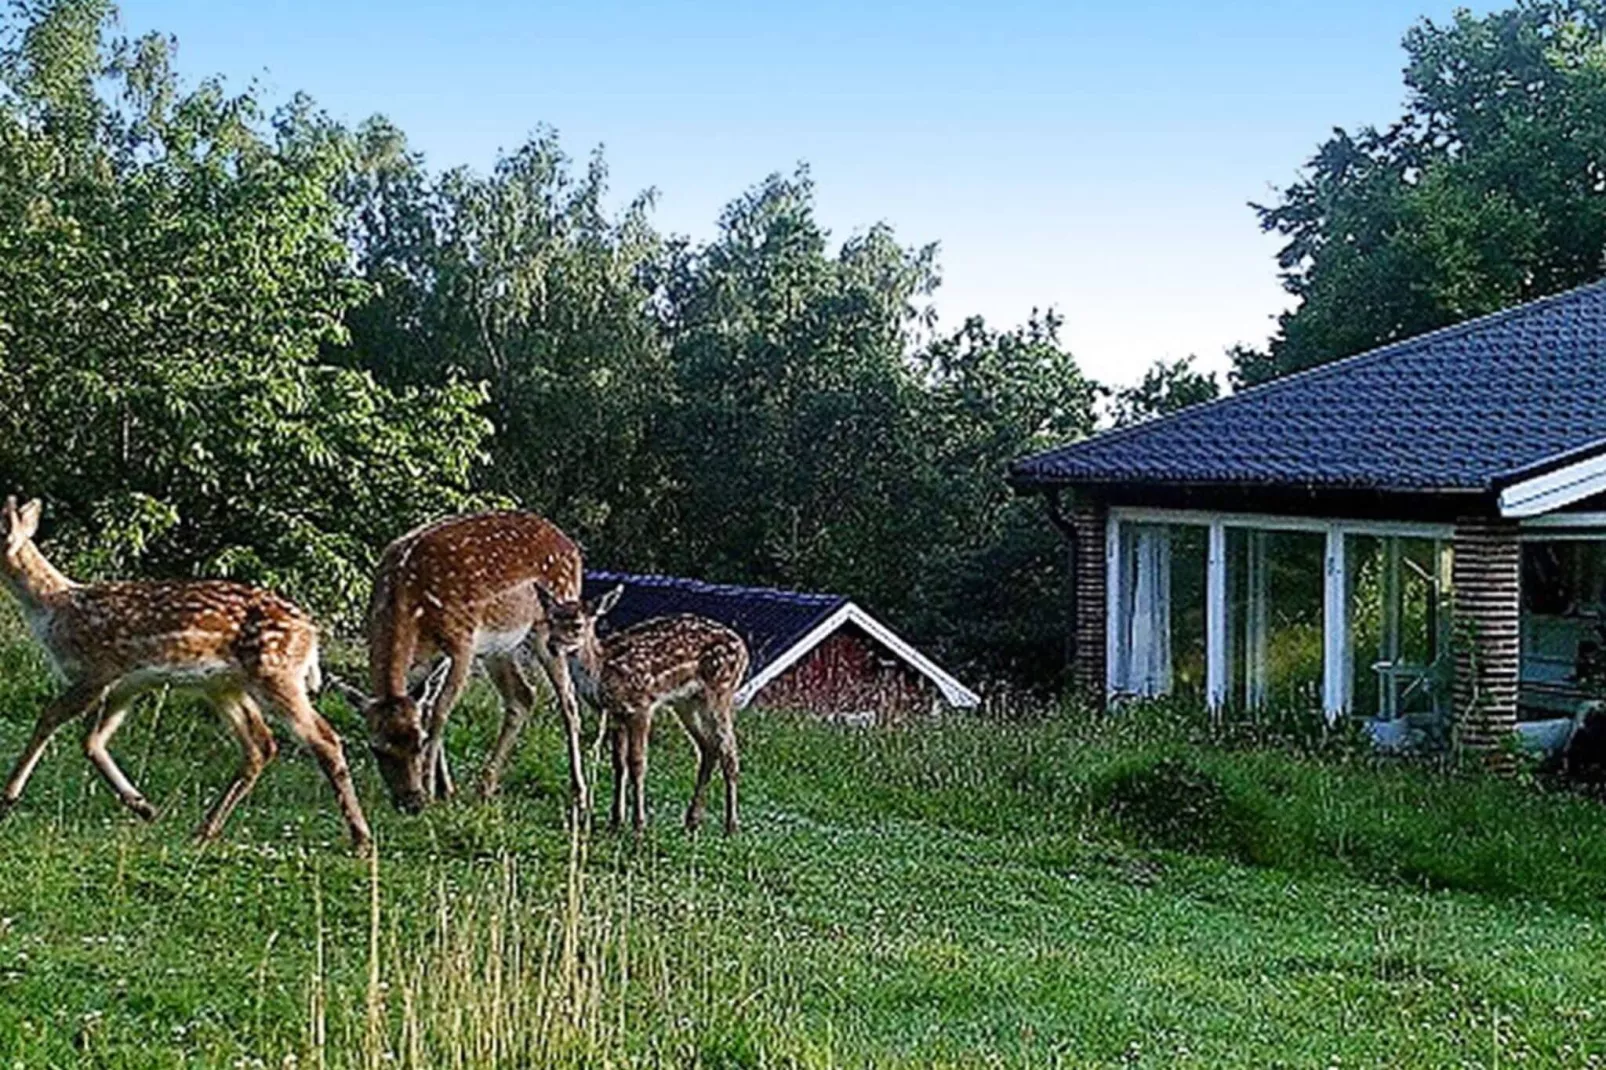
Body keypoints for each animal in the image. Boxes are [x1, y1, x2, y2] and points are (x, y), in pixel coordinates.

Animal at [0, 494, 369, 848]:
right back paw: (206, 829)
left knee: (323, 738)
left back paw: (361, 840)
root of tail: (311, 634)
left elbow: (49, 718)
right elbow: (92, 741)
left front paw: (9, 796)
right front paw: (143, 806)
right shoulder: (122, 686)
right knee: (260, 745)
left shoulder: (95, 671)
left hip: (276, 673)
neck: (52, 607)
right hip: (225, 685)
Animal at [354, 514, 594, 812]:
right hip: (499, 646)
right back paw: (485, 787)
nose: (411, 802)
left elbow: (440, 710)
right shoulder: (430, 658)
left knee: (568, 701)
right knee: (523, 696)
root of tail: (572, 548)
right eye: (376, 748)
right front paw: (445, 789)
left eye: (419, 743)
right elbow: (427, 707)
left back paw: (579, 795)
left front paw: (433, 788)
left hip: (551, 627)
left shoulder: (462, 642)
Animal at [533, 591, 745, 835]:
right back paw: (692, 820)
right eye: (551, 620)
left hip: (721, 692)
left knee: (729, 751)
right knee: (708, 747)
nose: (552, 645)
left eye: (577, 625)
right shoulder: (615, 714)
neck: (600, 670)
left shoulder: (641, 706)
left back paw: (731, 826)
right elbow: (619, 763)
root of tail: (744, 649)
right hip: (687, 702)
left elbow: (637, 762)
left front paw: (638, 826)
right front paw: (616, 822)